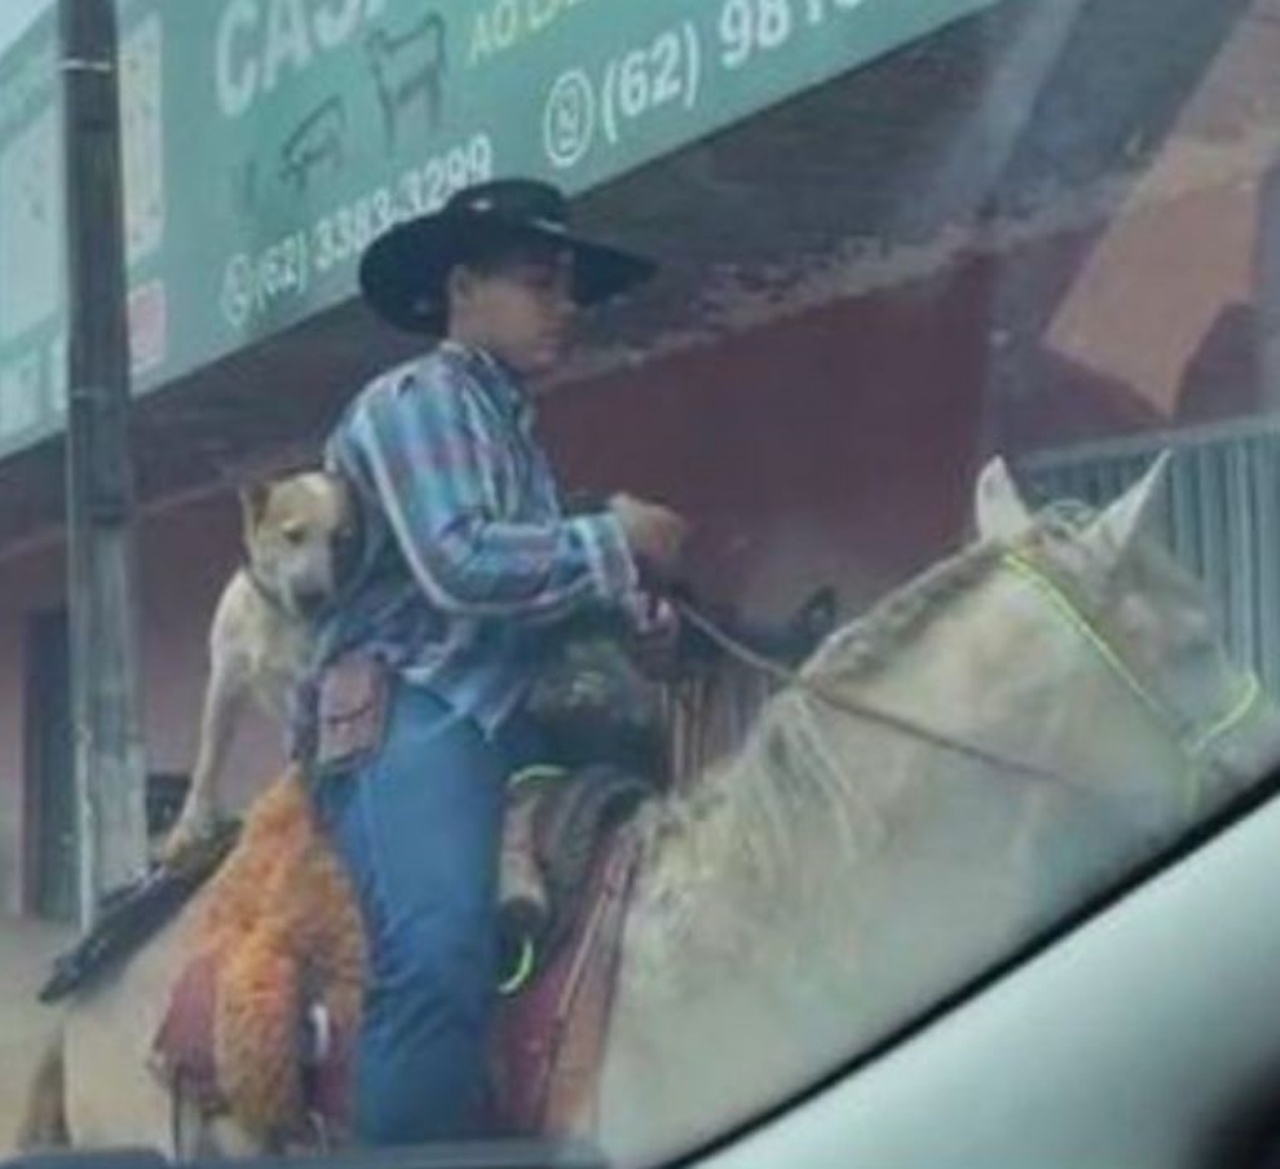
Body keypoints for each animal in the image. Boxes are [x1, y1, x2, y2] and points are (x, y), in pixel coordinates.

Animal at [165, 468, 358, 860]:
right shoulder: (225, 681)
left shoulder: (304, 682)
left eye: (340, 540)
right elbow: (208, 759)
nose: (313, 597)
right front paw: (191, 825)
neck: (275, 618)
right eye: (293, 535)